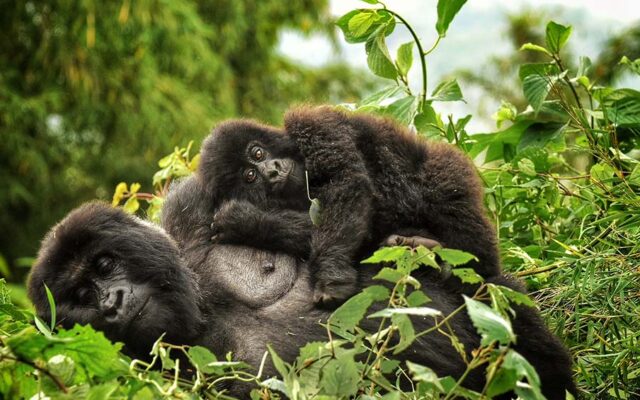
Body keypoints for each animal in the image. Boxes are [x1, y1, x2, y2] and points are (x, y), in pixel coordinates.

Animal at [197, 106, 500, 305]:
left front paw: (331, 279)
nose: (272, 171)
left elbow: (347, 182)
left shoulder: (313, 125)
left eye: (258, 152)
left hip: (451, 172)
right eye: (250, 176)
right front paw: (249, 224)